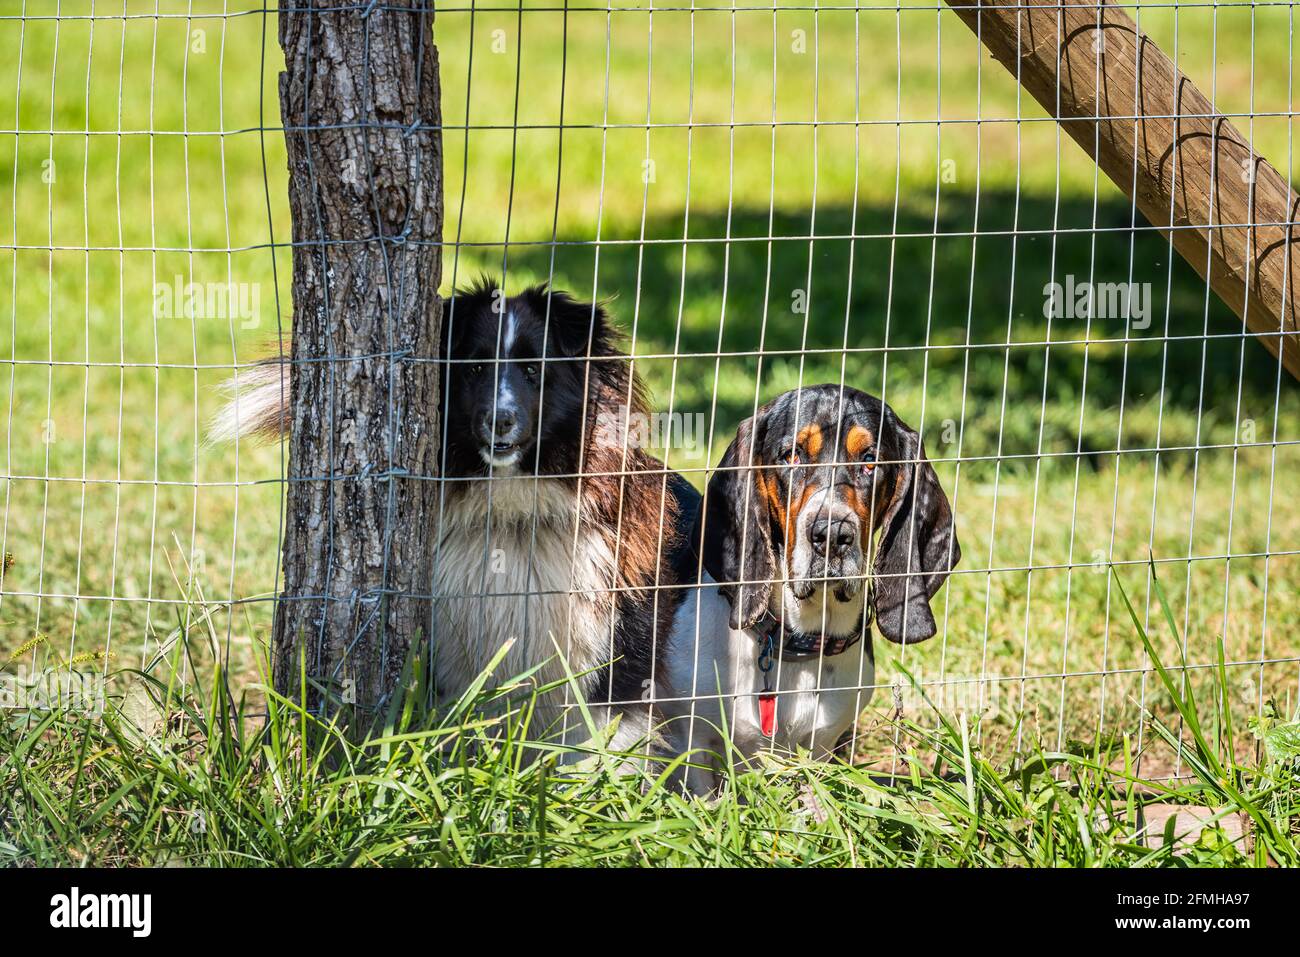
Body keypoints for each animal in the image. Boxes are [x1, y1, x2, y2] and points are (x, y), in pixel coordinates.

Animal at [213, 278, 702, 754]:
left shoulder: (614, 656)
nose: (499, 420)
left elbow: (598, 747)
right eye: (474, 369)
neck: (512, 517)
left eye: (534, 370)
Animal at [660, 382, 956, 790]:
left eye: (870, 460)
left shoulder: (819, 749)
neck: (795, 644)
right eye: (791, 456)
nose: (831, 534)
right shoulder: (695, 745)